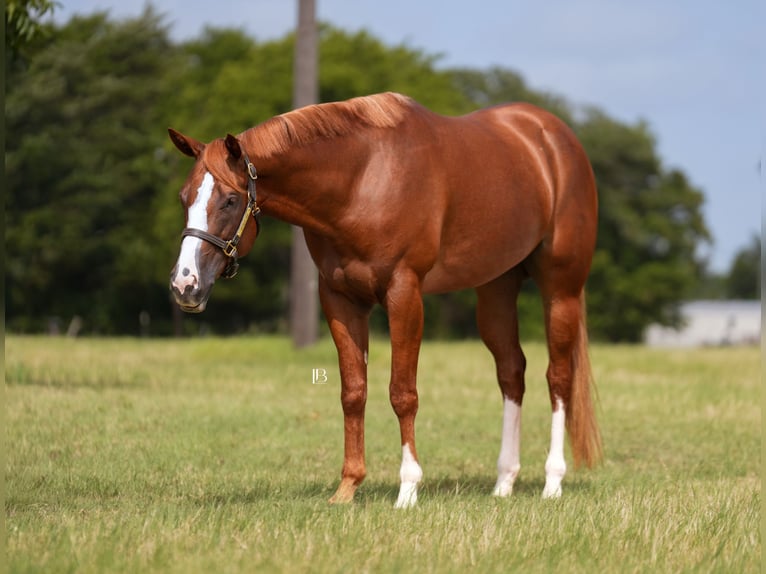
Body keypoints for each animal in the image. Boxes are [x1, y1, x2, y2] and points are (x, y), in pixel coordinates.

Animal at [168, 92, 601, 508]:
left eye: (229, 200)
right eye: (184, 197)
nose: (184, 284)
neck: (362, 179)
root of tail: (555, 138)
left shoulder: (404, 294)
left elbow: (402, 393)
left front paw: (407, 489)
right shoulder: (339, 299)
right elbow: (353, 391)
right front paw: (347, 488)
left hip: (561, 289)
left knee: (558, 378)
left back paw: (552, 482)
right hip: (496, 287)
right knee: (512, 372)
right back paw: (504, 482)